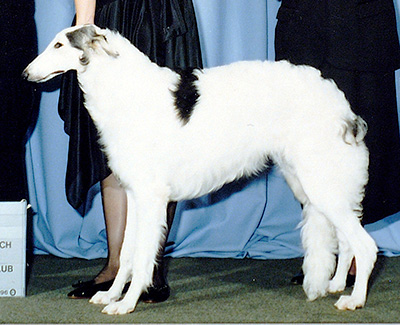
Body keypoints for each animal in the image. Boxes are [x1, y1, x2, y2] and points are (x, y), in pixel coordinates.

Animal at [25, 25, 378, 314]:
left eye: (59, 44)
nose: (26, 74)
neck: (126, 89)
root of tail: (343, 107)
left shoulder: (151, 196)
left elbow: (141, 256)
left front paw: (126, 303)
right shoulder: (135, 194)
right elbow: (125, 254)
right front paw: (111, 294)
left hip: (322, 185)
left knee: (366, 246)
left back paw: (354, 299)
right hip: (314, 185)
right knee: (347, 241)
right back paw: (336, 285)